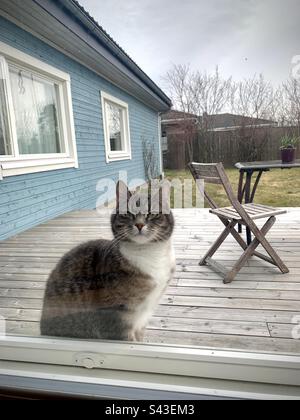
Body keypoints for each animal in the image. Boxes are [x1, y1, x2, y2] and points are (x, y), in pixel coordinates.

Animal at [40, 180, 176, 342]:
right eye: (127, 213)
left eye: (153, 213)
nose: (139, 224)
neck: (148, 253)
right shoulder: (117, 320)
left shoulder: (144, 316)